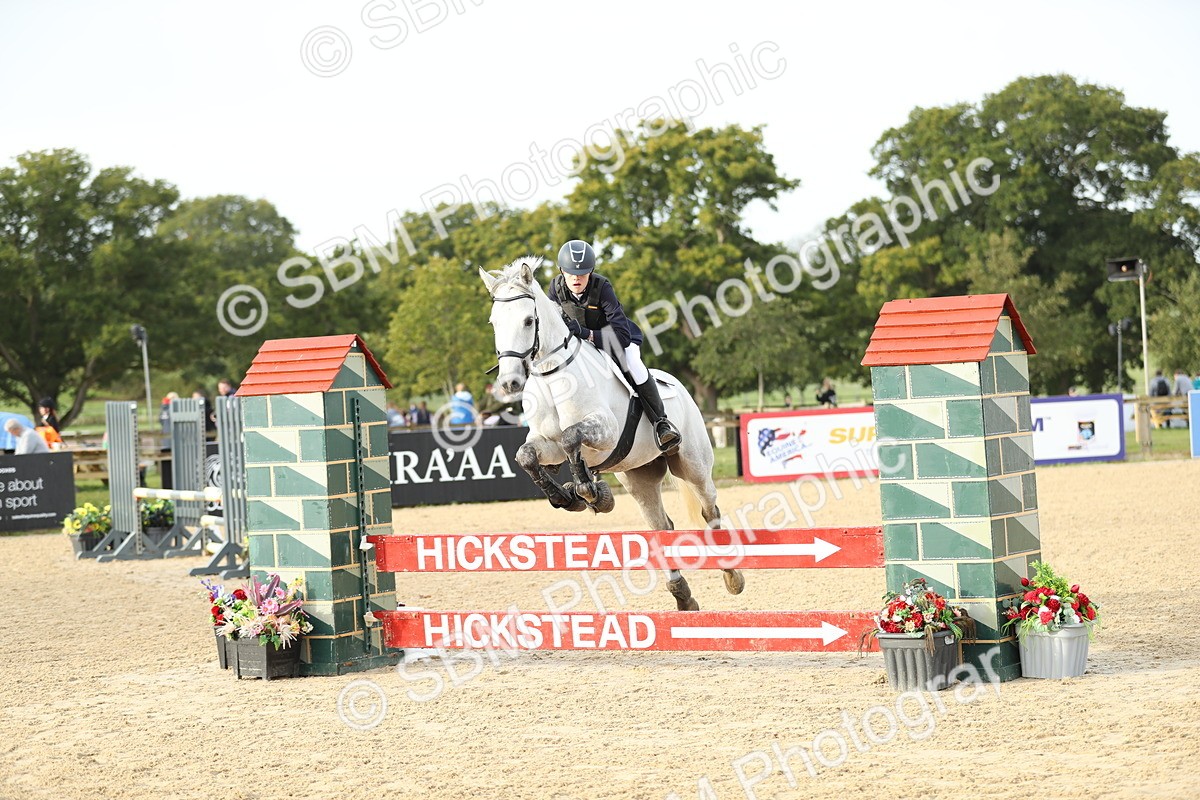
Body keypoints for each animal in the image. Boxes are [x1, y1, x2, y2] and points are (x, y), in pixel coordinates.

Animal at [478, 257, 745, 611]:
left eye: (528, 320)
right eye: (494, 322)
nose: (509, 383)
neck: (553, 377)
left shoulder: (604, 432)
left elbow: (571, 437)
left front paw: (588, 493)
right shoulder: (546, 444)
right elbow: (527, 455)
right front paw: (566, 496)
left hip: (693, 465)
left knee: (708, 511)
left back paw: (732, 575)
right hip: (638, 476)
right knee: (661, 527)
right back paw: (683, 596)